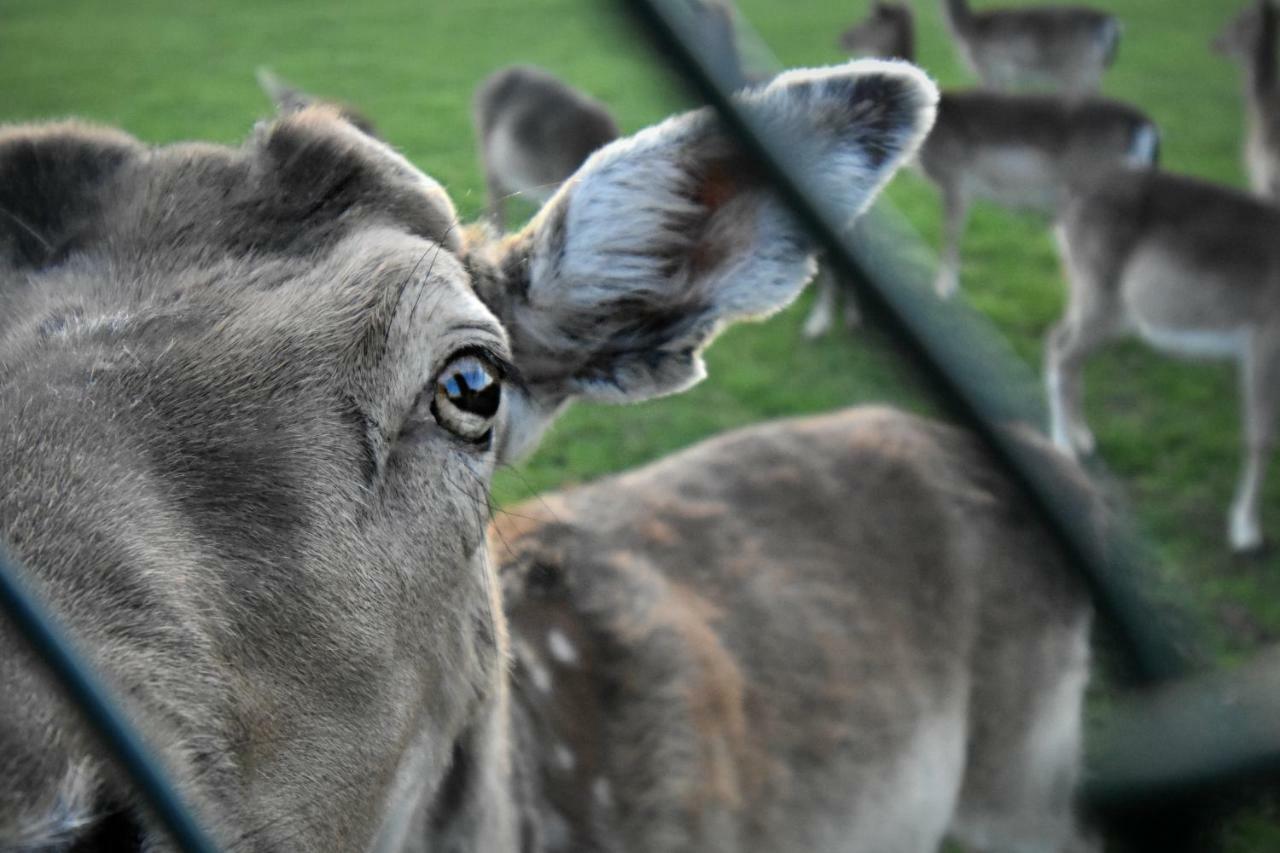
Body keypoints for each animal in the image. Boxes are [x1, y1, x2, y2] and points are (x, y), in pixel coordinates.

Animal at [1044, 166, 1280, 550]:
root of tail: (1068, 196)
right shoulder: (1266, 339)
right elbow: (1261, 437)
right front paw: (1245, 530)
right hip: (1098, 294)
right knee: (1062, 355)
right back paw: (1064, 447)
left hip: (1101, 305)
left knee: (1058, 341)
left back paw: (1083, 436)